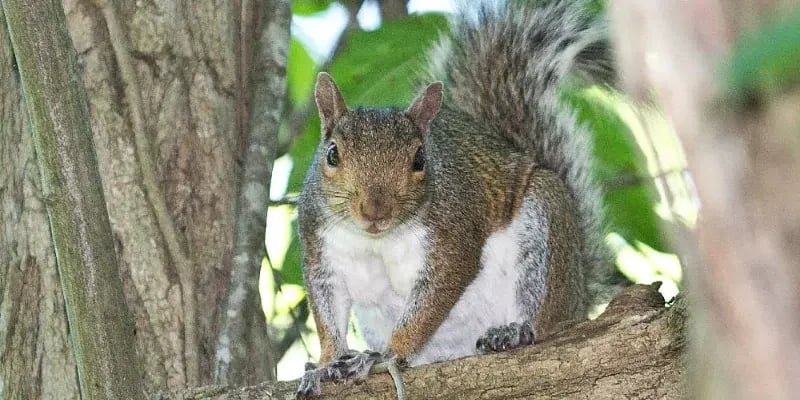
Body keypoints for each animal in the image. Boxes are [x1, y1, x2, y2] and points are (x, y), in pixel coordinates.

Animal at [294, 0, 612, 396]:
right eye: (332, 154)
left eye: (420, 159)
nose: (374, 211)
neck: (377, 239)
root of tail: (579, 297)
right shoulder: (320, 250)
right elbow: (327, 311)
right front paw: (326, 364)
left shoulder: (453, 237)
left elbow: (431, 302)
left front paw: (386, 354)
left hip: (544, 227)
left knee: (543, 314)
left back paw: (515, 331)